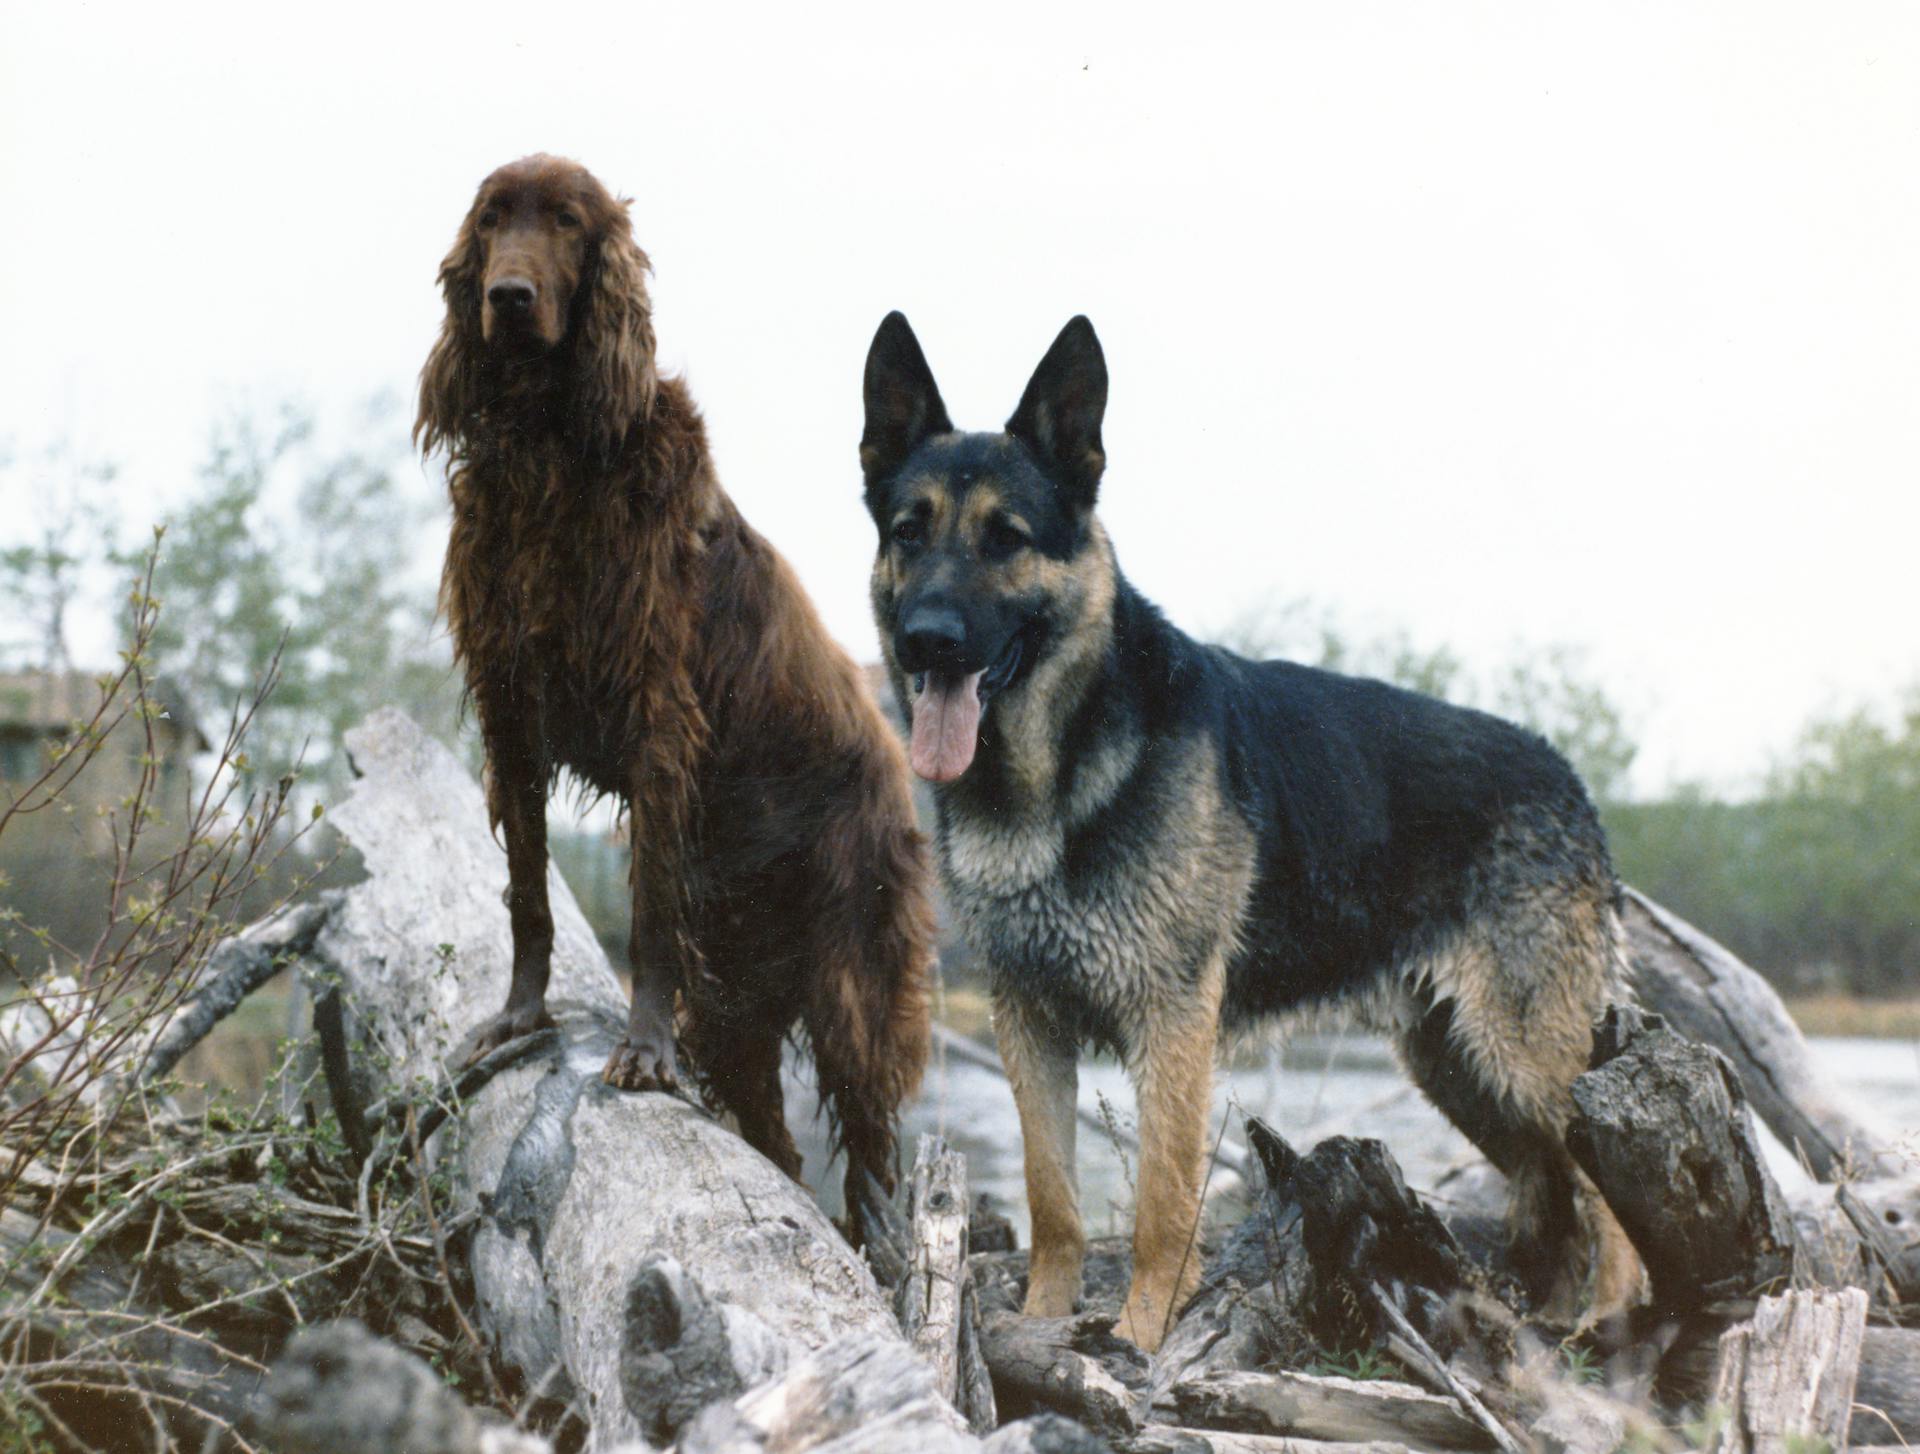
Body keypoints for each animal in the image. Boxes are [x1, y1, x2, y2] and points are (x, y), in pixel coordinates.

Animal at [416, 155, 933, 1206]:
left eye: (567, 223)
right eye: (491, 222)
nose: (508, 297)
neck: (552, 447)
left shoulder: (659, 708)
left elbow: (650, 902)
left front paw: (643, 1049)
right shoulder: (510, 702)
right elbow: (527, 890)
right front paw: (519, 1019)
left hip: (853, 984)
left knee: (871, 1159)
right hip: (736, 1000)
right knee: (780, 1149)